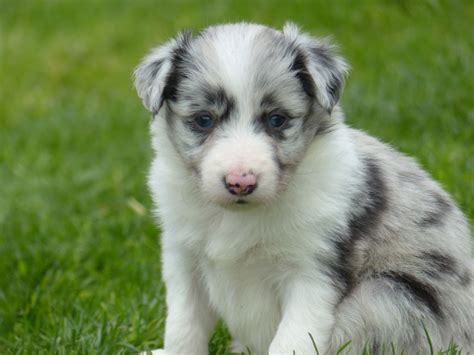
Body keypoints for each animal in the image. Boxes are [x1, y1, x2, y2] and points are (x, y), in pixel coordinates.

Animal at [133, 23, 474, 355]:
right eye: (204, 119)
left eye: (277, 119)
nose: (240, 182)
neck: (238, 217)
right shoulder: (183, 259)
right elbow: (183, 325)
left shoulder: (312, 272)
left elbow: (291, 340)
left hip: (383, 297)